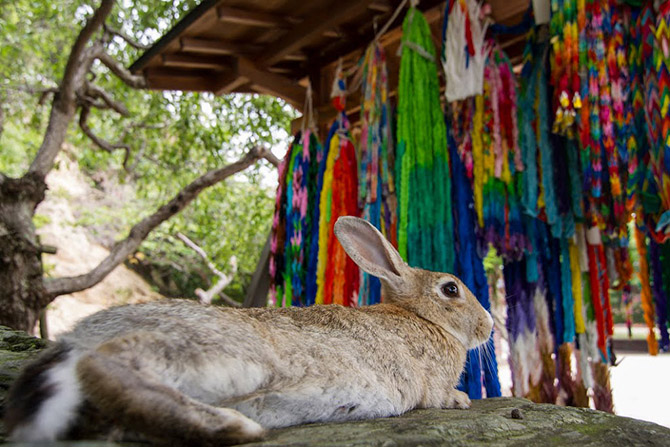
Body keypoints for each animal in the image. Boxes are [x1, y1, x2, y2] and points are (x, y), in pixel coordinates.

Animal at [3, 216, 494, 444]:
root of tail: (76, 340)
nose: (489, 326)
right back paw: (234, 427)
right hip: (225, 358)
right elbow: (439, 396)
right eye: (451, 289)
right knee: (107, 366)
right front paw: (460, 399)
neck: (422, 318)